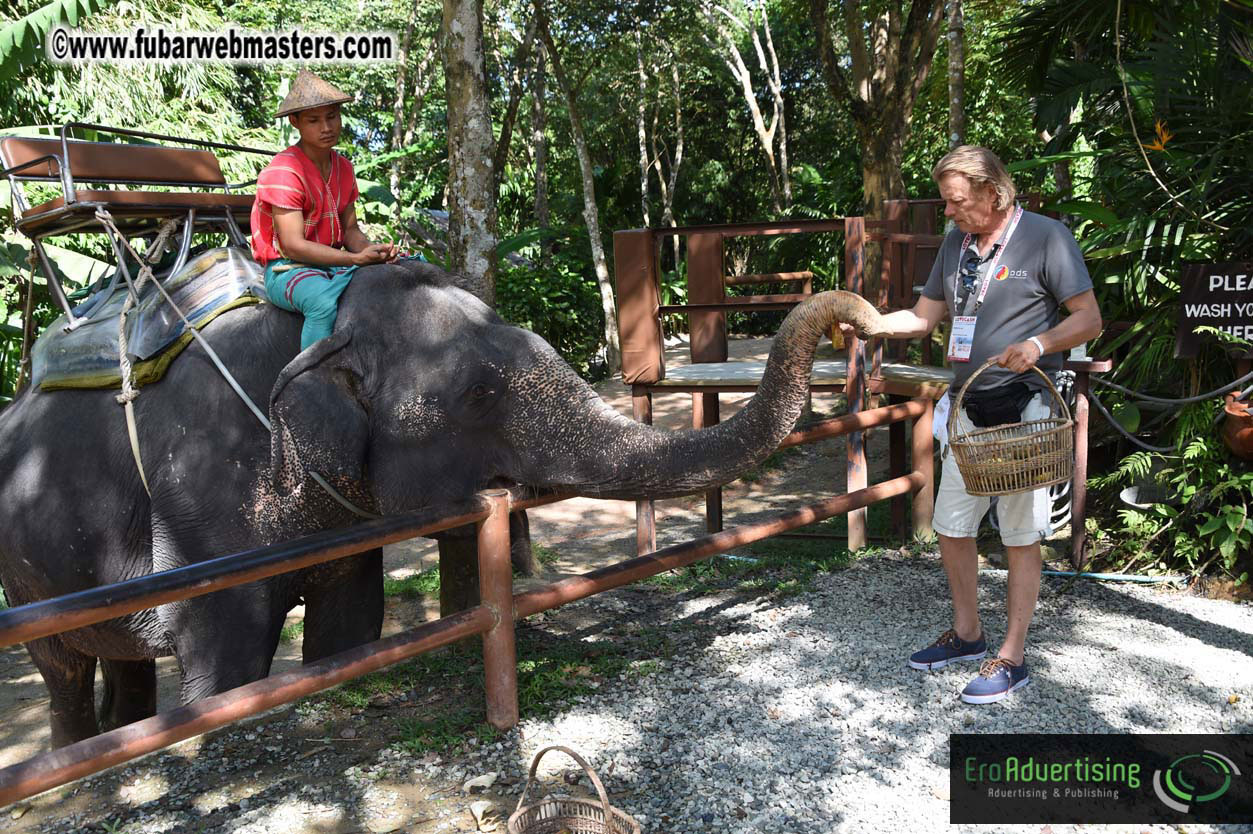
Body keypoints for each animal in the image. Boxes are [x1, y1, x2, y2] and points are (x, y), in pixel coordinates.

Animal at [0, 258, 884, 748]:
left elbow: (350, 628)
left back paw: (124, 732)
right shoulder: (202, 500)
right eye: (478, 394)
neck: (316, 327)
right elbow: (227, 656)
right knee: (62, 663)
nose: (863, 317)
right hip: (21, 570)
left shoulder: (343, 525)